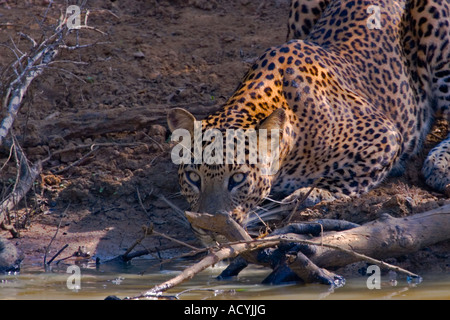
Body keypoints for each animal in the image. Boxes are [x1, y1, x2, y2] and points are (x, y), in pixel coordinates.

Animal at [168, 0, 450, 244]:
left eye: (237, 179)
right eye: (193, 177)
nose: (210, 228)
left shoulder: (384, 135)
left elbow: (347, 177)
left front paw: (311, 193)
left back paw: (439, 164)